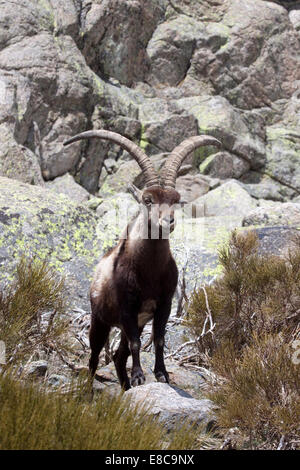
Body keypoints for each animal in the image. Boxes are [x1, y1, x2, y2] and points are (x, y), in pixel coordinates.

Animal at [63, 130, 220, 392]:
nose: (169, 221)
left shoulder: (163, 305)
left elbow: (159, 339)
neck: (150, 271)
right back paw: (89, 390)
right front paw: (139, 376)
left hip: (133, 323)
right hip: (100, 319)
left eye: (175, 199)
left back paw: (126, 387)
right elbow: (138, 344)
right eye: (148, 200)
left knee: (119, 356)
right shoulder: (127, 306)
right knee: (95, 356)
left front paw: (161, 374)